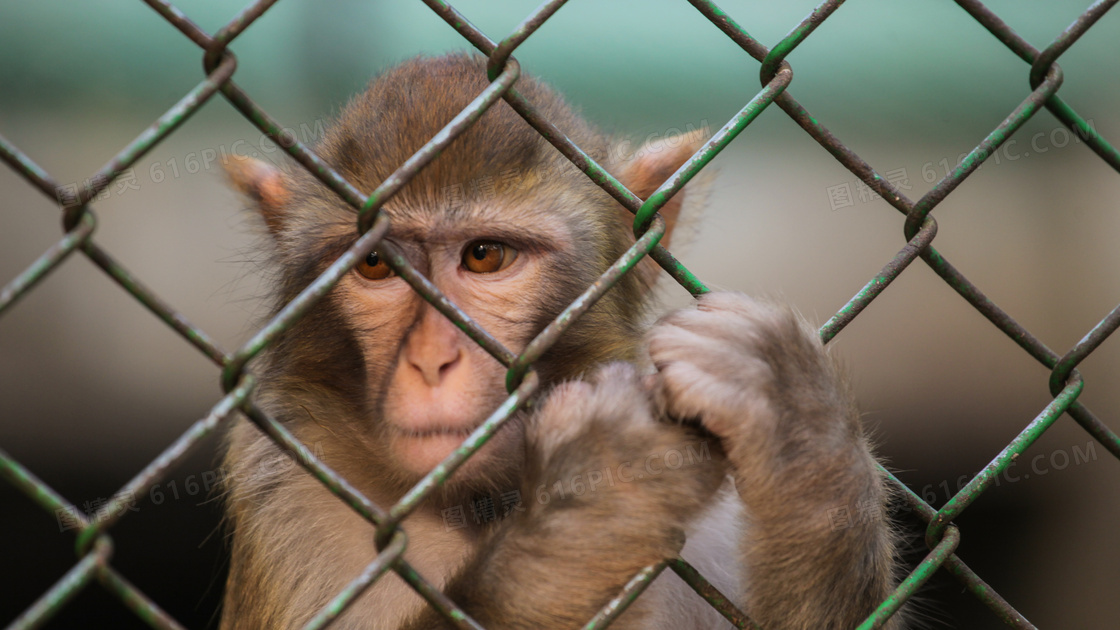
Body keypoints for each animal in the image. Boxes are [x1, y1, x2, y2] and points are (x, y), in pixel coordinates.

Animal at [220, 53, 900, 627]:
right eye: (375, 265)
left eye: (485, 256)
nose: (431, 361)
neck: (479, 508)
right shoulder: (288, 499)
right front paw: (594, 501)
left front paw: (794, 415)